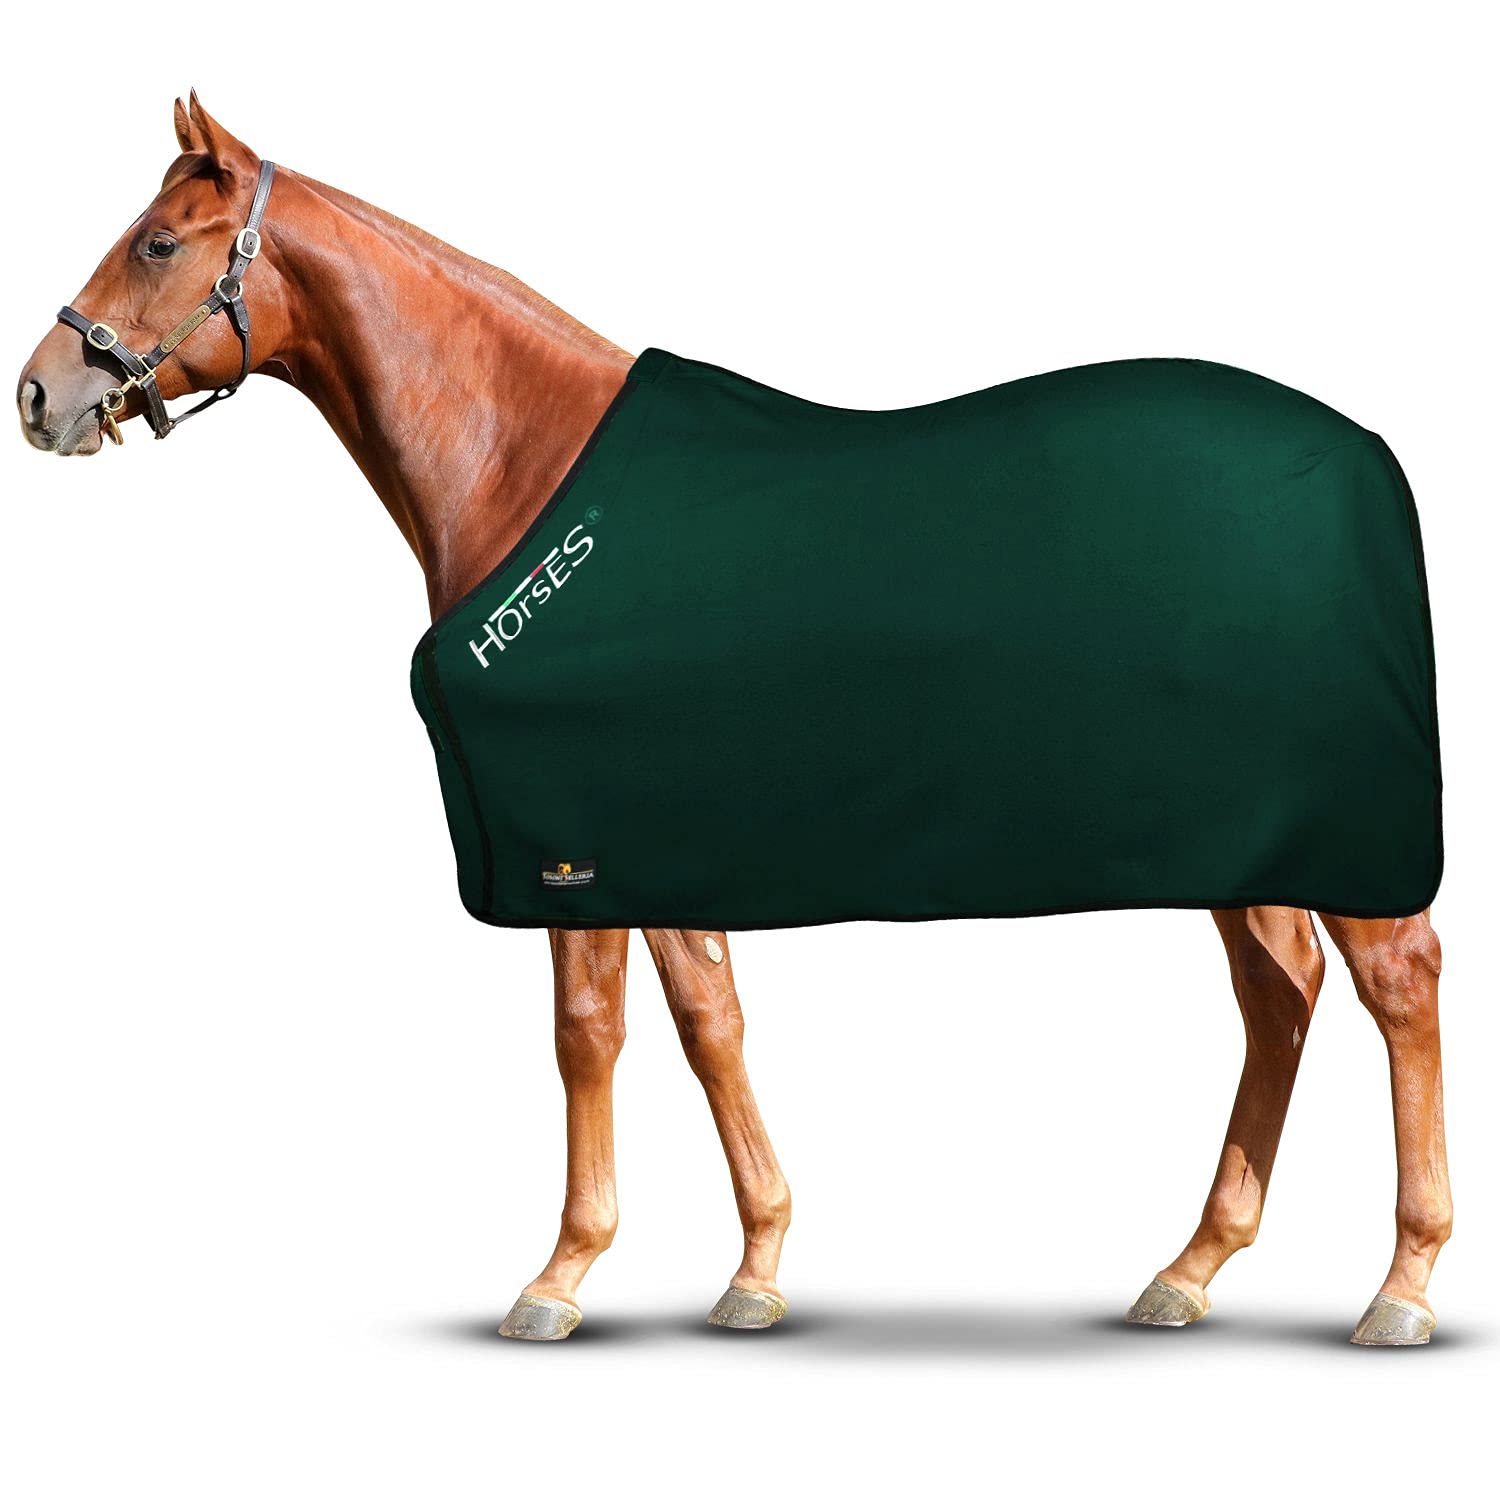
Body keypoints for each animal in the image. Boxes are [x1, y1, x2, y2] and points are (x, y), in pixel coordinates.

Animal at [15, 94, 1452, 1346]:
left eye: (156, 242)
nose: (38, 395)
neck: (528, 458)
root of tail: (1369, 455)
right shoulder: (658, 842)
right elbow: (711, 1022)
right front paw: (756, 1266)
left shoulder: (570, 842)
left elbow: (587, 1038)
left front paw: (562, 1277)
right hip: (1248, 837)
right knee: (1279, 995)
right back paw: (1192, 1268)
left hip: (1341, 837)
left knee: (1397, 986)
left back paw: (1402, 1287)